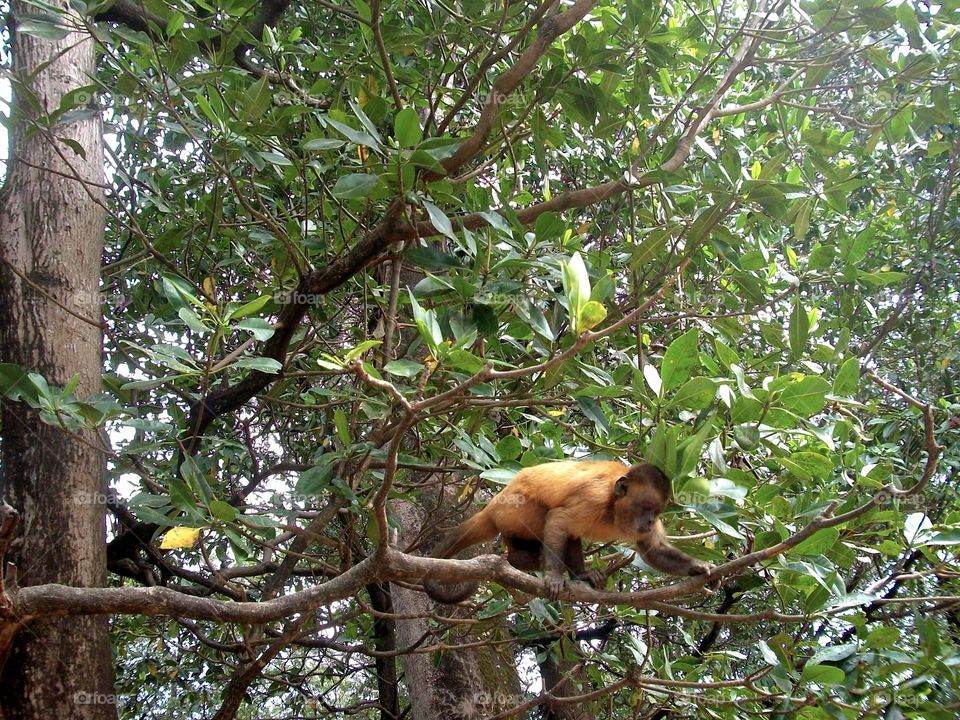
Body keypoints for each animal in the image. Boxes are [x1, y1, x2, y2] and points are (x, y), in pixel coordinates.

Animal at [422, 462, 712, 600]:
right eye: (647, 507)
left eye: (658, 512)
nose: (651, 521)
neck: (613, 503)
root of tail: (493, 505)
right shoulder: (594, 496)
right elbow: (559, 519)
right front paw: (553, 576)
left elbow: (654, 550)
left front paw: (698, 568)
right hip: (512, 511)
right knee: (549, 515)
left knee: (571, 534)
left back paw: (576, 574)